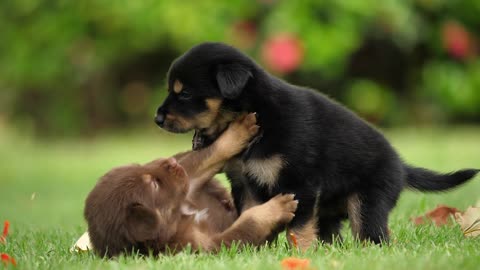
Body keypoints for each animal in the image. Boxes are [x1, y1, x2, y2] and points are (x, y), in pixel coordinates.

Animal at [84, 114, 298, 258]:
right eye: (154, 184)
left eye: (139, 166)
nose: (170, 162)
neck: (178, 218)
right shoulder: (205, 247)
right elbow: (246, 226)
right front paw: (277, 208)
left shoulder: (188, 184)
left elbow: (205, 157)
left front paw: (239, 130)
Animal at [156, 42, 478, 249]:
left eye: (184, 94)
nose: (157, 118)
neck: (259, 114)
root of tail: (401, 166)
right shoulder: (245, 183)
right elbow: (251, 213)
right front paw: (256, 249)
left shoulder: (300, 183)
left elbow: (297, 228)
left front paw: (299, 254)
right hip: (329, 212)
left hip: (368, 201)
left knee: (372, 235)